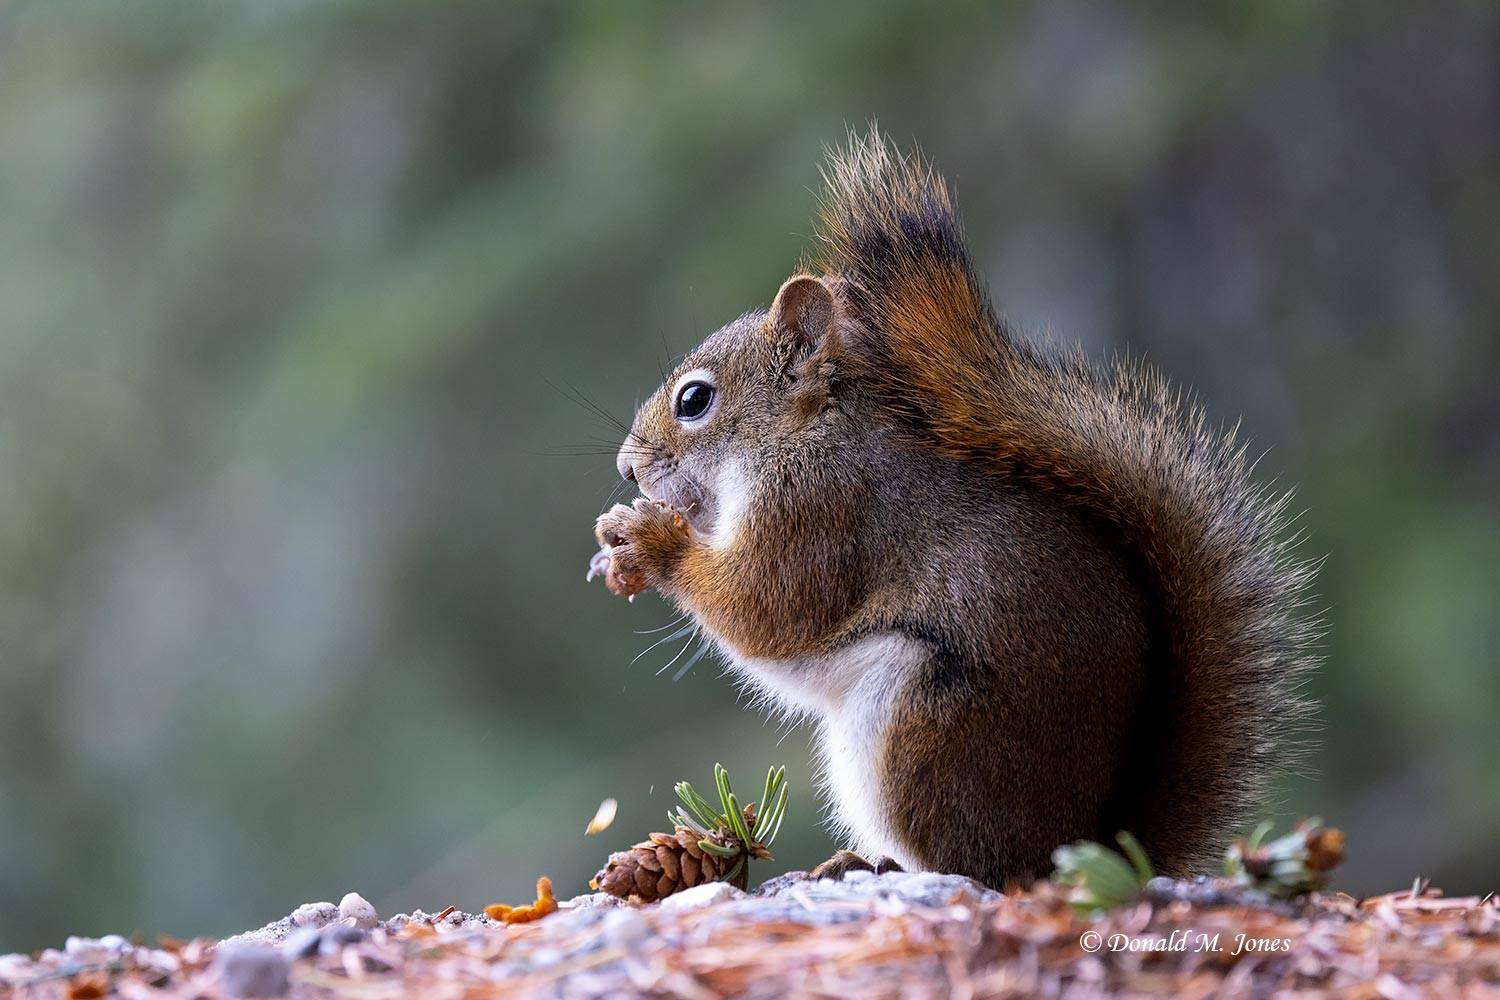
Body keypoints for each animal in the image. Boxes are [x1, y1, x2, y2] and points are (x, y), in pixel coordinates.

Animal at [588, 129, 1317, 885]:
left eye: (695, 400)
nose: (627, 467)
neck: (803, 434)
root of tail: (1078, 846)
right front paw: (620, 538)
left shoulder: (825, 509)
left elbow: (767, 605)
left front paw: (652, 542)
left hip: (919, 726)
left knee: (969, 865)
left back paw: (877, 865)